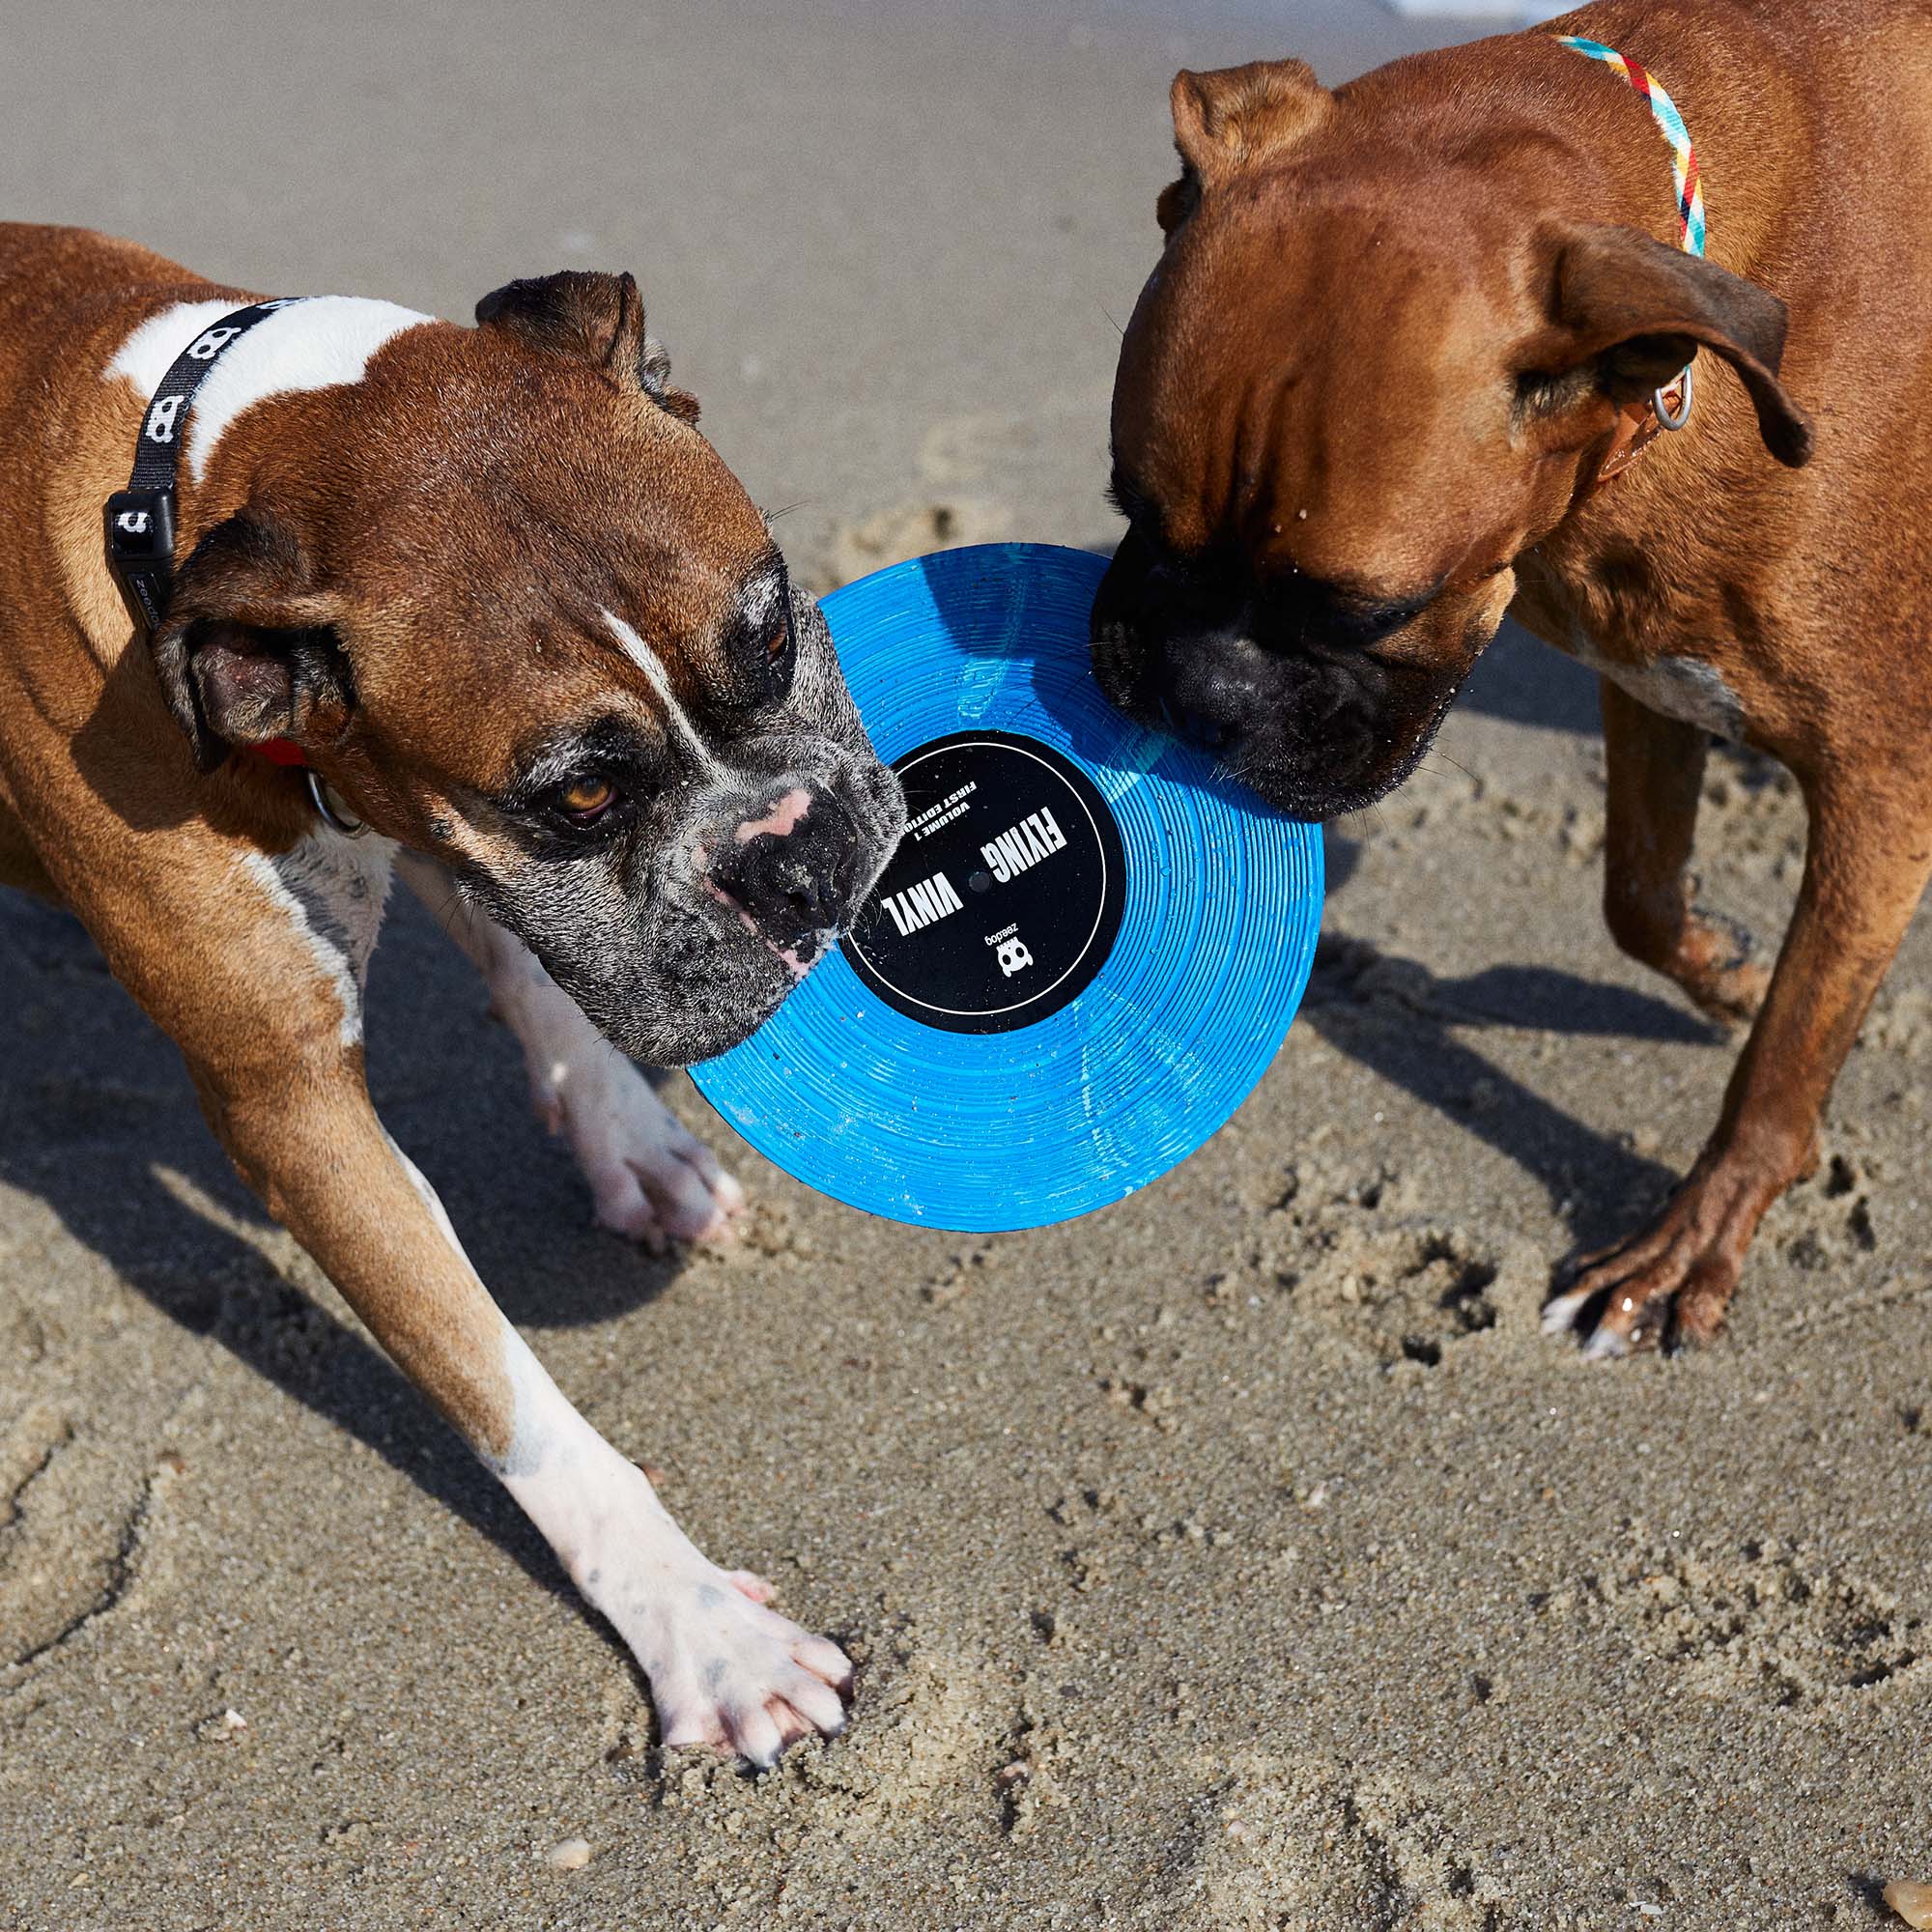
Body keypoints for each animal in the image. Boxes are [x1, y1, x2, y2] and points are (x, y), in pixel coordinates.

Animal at [0, 226, 904, 1770]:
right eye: (580, 795)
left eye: (775, 634)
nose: (797, 854)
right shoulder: (295, 1109)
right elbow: (513, 1400)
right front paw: (697, 1627)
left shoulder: (415, 813)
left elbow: (533, 964)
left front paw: (629, 1142)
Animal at [1097, 3, 1924, 1360]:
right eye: (1128, 511)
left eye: (1366, 610)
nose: (1194, 692)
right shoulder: (1650, 678)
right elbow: (1637, 898)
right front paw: (1722, 968)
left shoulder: (1881, 785)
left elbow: (1787, 1047)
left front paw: (1693, 1232)